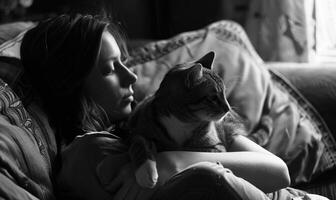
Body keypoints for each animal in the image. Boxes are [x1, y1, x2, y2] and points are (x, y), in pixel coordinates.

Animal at [127, 51, 272, 188]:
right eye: (213, 97)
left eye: (225, 93)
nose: (228, 108)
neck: (182, 121)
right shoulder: (138, 129)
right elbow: (140, 145)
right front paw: (145, 173)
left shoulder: (216, 147)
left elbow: (188, 149)